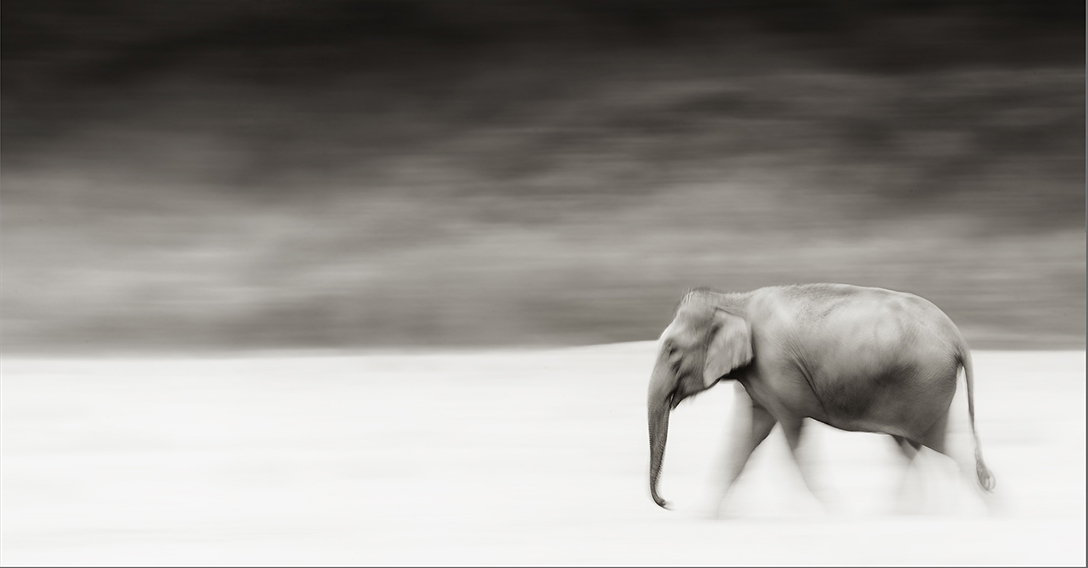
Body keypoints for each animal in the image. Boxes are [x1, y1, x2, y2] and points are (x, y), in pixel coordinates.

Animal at [644, 282, 996, 509]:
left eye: (672, 351)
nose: (669, 502)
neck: (734, 301)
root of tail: (957, 337)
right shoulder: (761, 379)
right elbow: (749, 438)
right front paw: (709, 517)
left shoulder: (778, 371)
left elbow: (792, 434)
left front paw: (832, 507)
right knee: (915, 448)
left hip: (924, 386)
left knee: (941, 448)